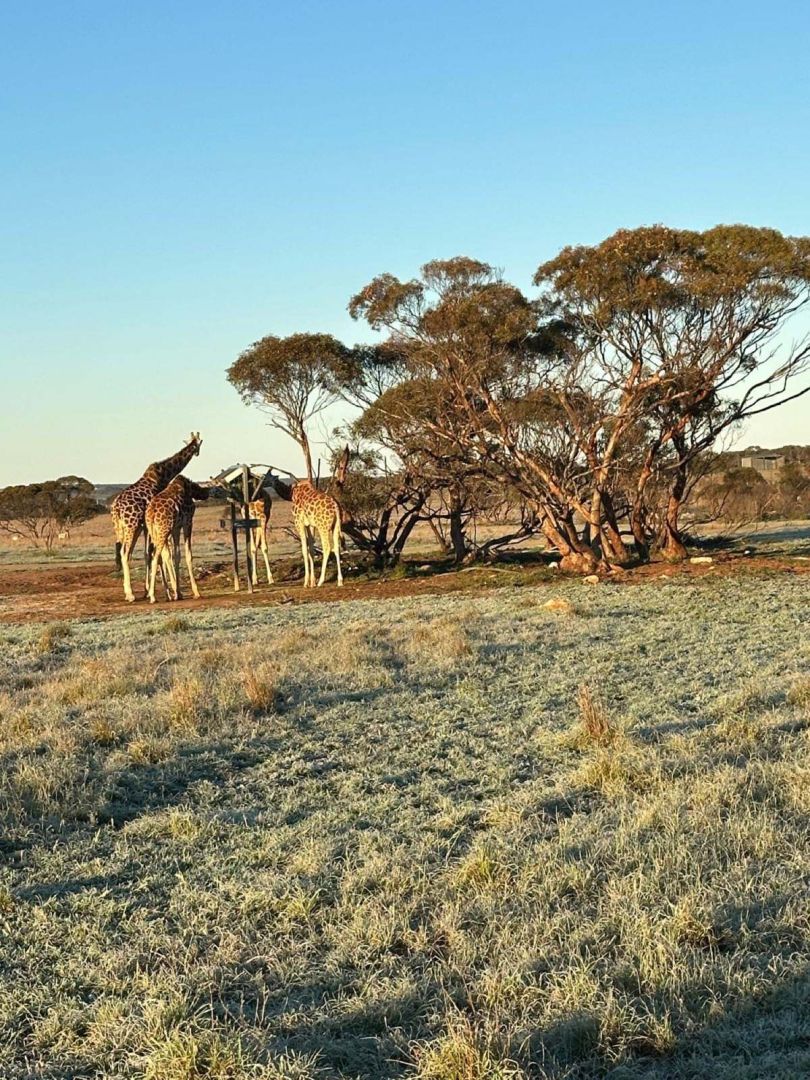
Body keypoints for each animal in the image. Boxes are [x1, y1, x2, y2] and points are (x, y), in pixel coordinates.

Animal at [110, 433, 202, 602]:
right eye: (198, 444)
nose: (197, 453)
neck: (164, 474)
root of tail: (116, 509)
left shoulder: (147, 527)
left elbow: (149, 555)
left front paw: (149, 591)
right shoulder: (156, 526)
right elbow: (162, 555)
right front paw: (170, 592)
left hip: (122, 529)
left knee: (124, 553)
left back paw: (128, 592)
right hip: (131, 526)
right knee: (125, 553)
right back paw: (131, 594)